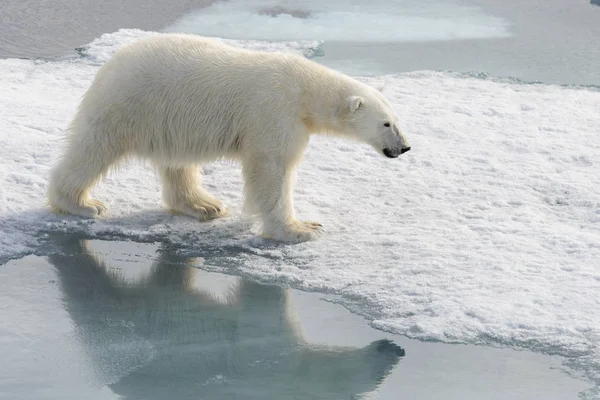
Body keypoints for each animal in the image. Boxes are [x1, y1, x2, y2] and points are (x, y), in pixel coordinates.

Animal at [48, 33, 412, 241]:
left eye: (397, 120)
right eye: (385, 124)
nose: (405, 147)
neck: (305, 90)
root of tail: (109, 65)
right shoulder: (274, 112)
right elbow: (272, 168)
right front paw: (299, 230)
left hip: (170, 118)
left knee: (177, 163)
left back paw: (205, 205)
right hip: (131, 103)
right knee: (95, 147)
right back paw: (82, 204)